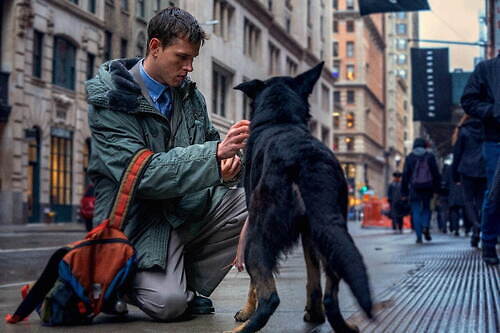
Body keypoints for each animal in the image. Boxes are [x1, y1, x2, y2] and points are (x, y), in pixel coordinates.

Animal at [230, 63, 372, 332]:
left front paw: (245, 312)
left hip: (257, 237)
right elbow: (312, 274)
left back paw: (240, 329)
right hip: (330, 232)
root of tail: (304, 158)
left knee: (270, 299)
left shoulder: (252, 220)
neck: (281, 118)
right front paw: (313, 313)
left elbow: (253, 286)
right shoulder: (309, 232)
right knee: (331, 297)